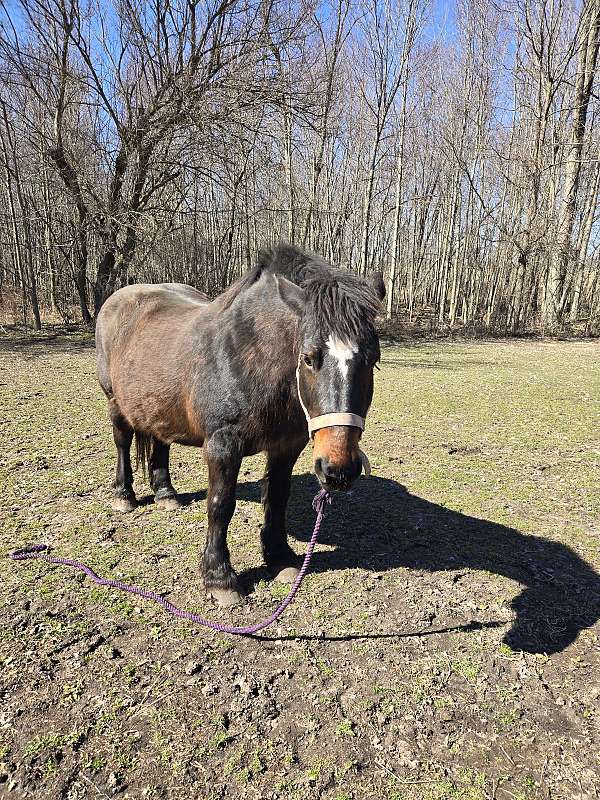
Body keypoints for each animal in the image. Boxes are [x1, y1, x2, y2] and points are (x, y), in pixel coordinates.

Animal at [95, 244, 385, 606]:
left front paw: (280, 558)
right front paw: (220, 578)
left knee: (160, 439)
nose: (338, 470)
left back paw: (166, 494)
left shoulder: (286, 446)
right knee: (122, 441)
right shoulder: (223, 445)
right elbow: (221, 505)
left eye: (373, 360)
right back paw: (124, 496)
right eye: (308, 358)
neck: (250, 356)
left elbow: (277, 497)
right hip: (115, 403)